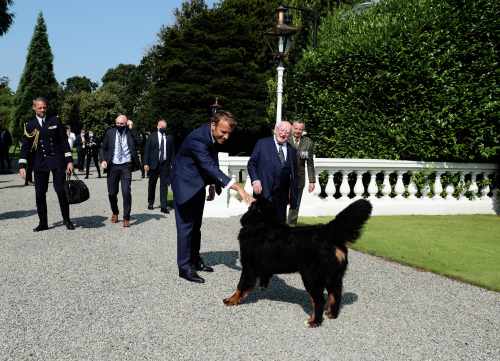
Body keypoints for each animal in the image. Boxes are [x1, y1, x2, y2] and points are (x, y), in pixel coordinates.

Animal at [223, 195, 372, 328]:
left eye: (251, 206)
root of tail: (328, 232)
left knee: (319, 300)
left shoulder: (248, 267)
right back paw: (331, 314)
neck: (262, 225)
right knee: (335, 294)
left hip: (311, 277)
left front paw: (231, 300)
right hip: (333, 276)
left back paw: (314, 322)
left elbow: (240, 286)